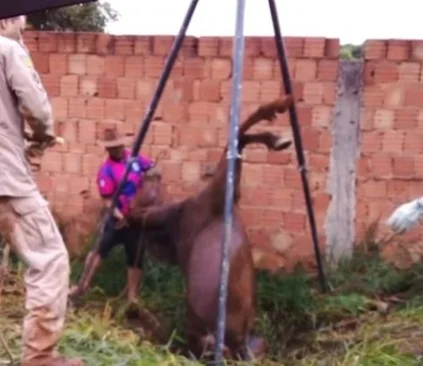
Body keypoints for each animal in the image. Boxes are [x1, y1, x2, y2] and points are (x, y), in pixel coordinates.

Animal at [129, 95, 294, 360]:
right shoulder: (213, 197)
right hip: (218, 339)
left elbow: (237, 140)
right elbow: (236, 140)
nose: (151, 168)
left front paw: (277, 128)